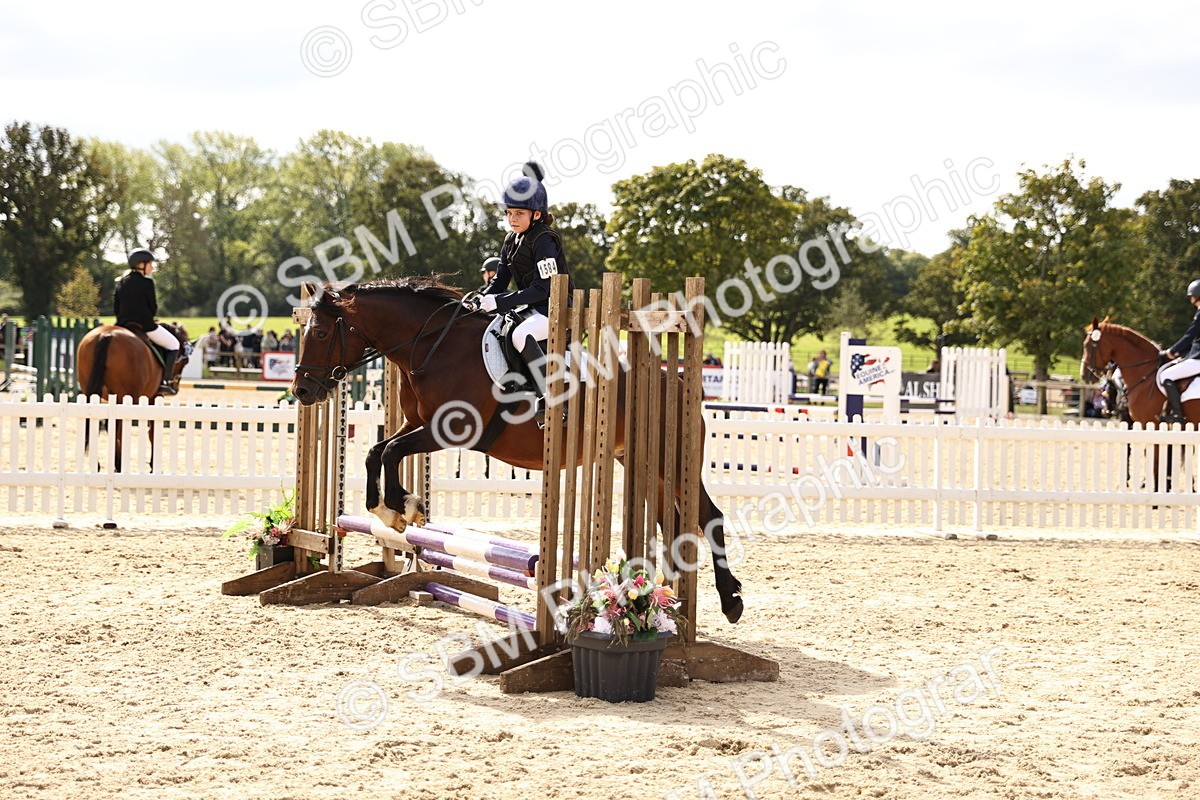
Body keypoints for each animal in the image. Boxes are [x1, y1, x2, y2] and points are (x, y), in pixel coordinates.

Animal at [76, 322, 190, 472]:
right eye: (185, 361)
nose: (175, 388)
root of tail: (106, 334)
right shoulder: (154, 397)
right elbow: (152, 432)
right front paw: (153, 466)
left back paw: (100, 465)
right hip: (124, 396)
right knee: (118, 430)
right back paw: (119, 465)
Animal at [290, 277, 744, 624]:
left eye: (321, 333)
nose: (302, 392)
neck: (430, 346)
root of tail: (677, 382)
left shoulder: (450, 432)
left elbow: (391, 453)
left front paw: (403, 507)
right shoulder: (417, 425)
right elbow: (376, 451)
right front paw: (395, 511)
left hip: (667, 462)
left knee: (708, 517)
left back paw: (729, 602)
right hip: (641, 463)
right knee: (675, 524)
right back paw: (670, 599)